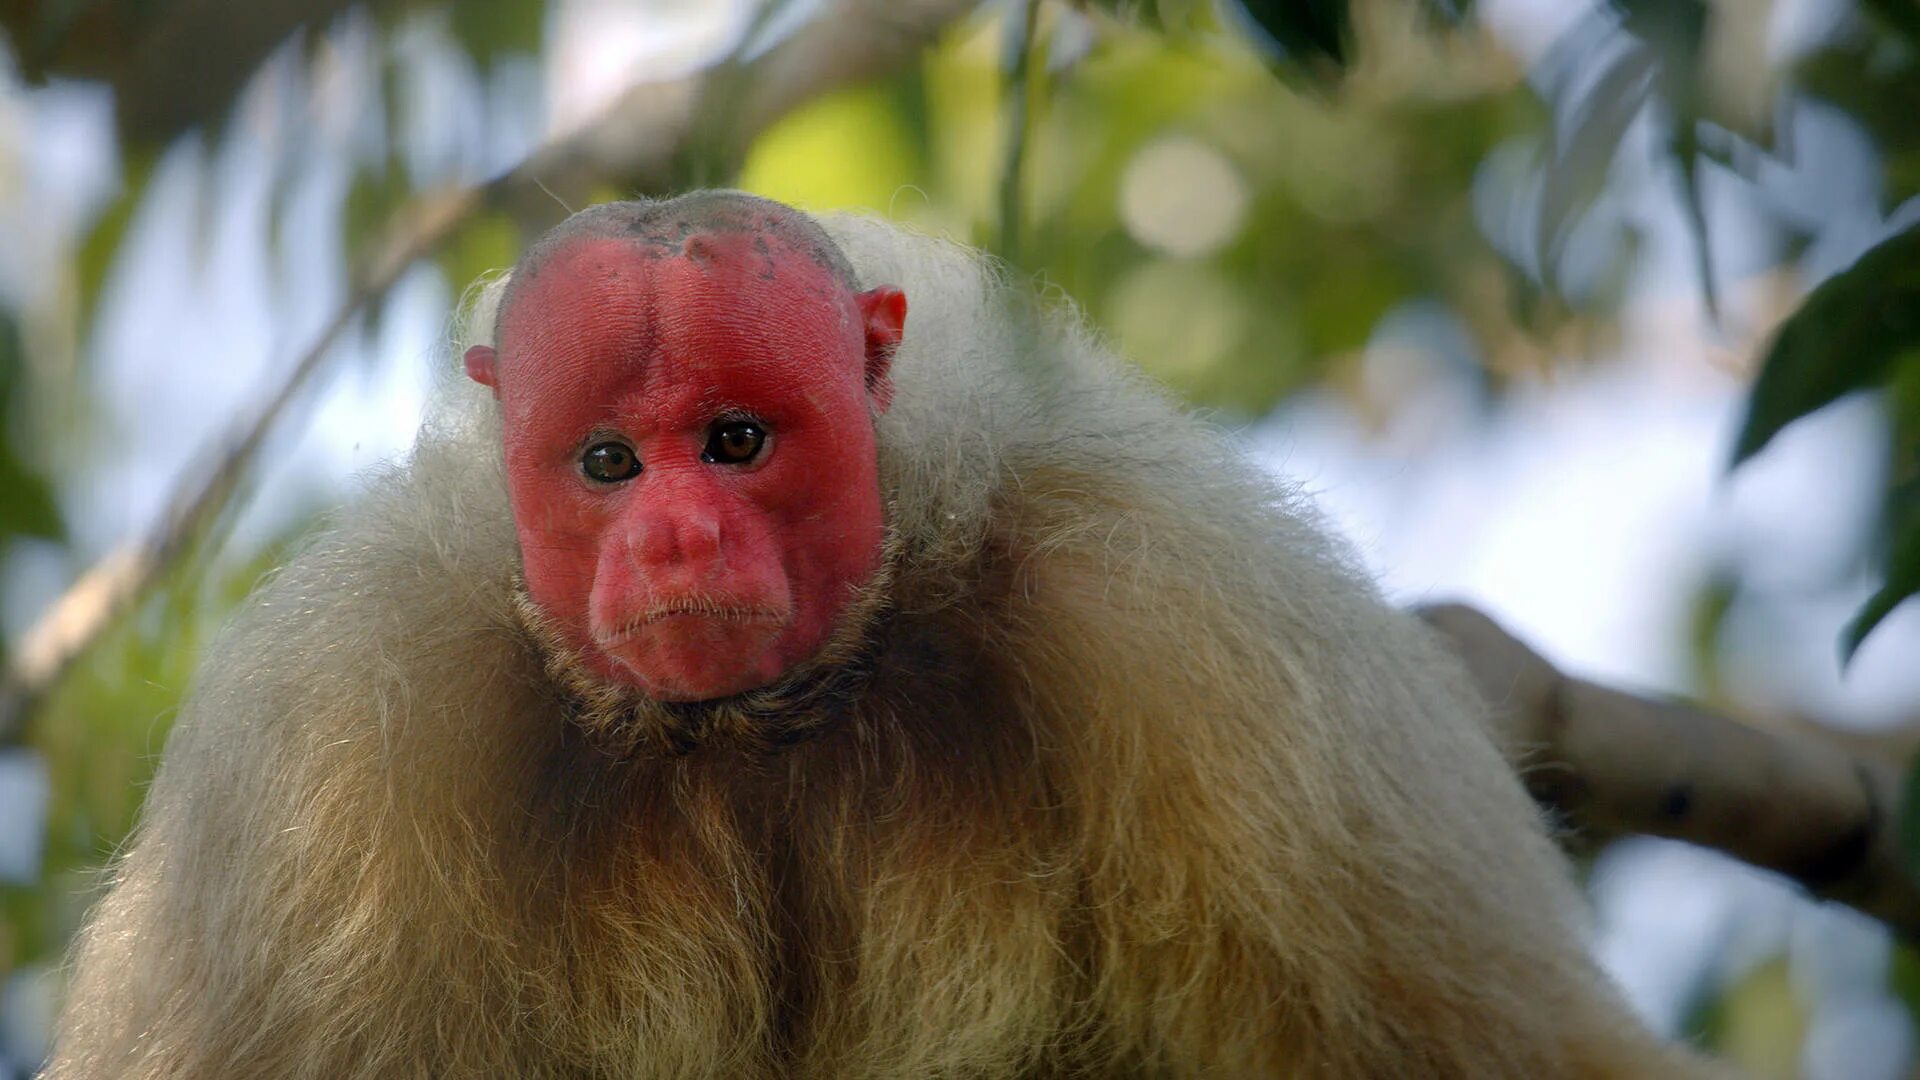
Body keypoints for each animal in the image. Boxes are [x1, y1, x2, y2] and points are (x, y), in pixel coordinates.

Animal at [48, 193, 1728, 1076]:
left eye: (734, 443)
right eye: (609, 464)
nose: (673, 540)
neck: (757, 730)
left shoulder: (1217, 651)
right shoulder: (321, 766)